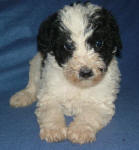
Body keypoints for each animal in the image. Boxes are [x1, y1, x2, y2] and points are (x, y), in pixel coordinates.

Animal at [9, 1, 121, 144]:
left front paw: (80, 130)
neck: (78, 85)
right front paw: (54, 130)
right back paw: (22, 96)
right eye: (68, 46)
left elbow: (89, 114)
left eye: (98, 43)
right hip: (36, 63)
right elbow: (51, 111)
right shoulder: (49, 94)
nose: (85, 72)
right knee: (32, 85)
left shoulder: (101, 102)